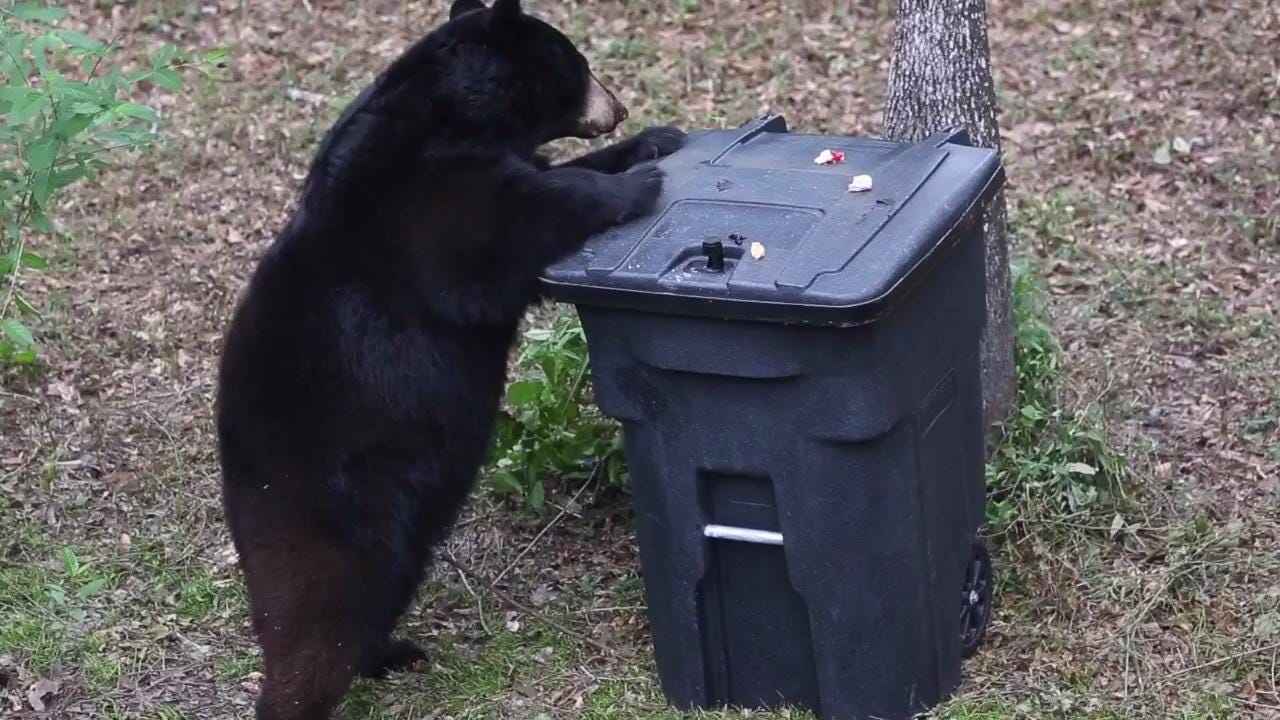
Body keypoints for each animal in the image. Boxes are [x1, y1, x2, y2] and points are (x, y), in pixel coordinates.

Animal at [215, 2, 686, 712]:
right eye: (579, 63)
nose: (620, 106)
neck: (457, 113)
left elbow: (549, 171)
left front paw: (658, 140)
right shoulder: (428, 203)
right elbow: (511, 225)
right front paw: (637, 184)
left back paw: (393, 654)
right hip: (331, 513)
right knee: (321, 623)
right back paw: (311, 690)